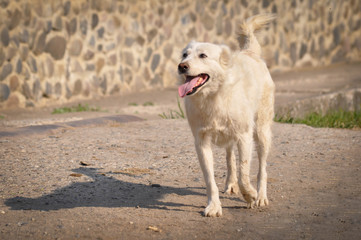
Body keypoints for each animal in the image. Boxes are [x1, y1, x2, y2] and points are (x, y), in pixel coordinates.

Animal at [178, 14, 276, 217]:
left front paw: (251, 196)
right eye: (184, 54)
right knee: (230, 158)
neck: (213, 96)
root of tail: (249, 52)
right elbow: (210, 179)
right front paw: (214, 206)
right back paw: (231, 184)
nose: (181, 66)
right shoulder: (201, 142)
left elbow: (244, 172)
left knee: (262, 168)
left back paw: (261, 196)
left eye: (203, 55)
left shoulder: (245, 136)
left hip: (262, 133)